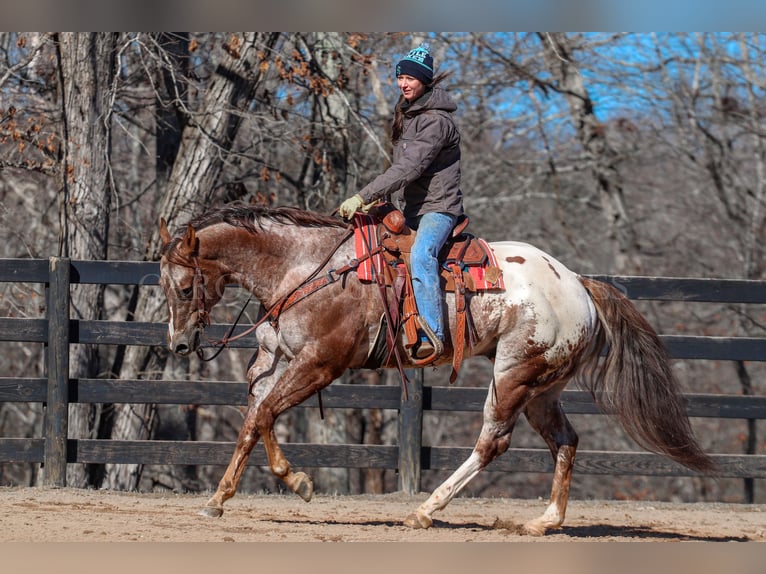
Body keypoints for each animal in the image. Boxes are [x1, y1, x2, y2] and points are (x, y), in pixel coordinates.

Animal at [159, 202, 716, 536]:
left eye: (183, 287)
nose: (180, 344)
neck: (305, 269)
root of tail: (578, 282)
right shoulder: (276, 363)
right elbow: (254, 421)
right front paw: (219, 499)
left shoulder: (320, 364)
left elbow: (264, 416)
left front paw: (298, 482)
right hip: (543, 389)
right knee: (566, 441)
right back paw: (544, 521)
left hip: (513, 376)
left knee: (493, 443)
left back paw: (426, 510)